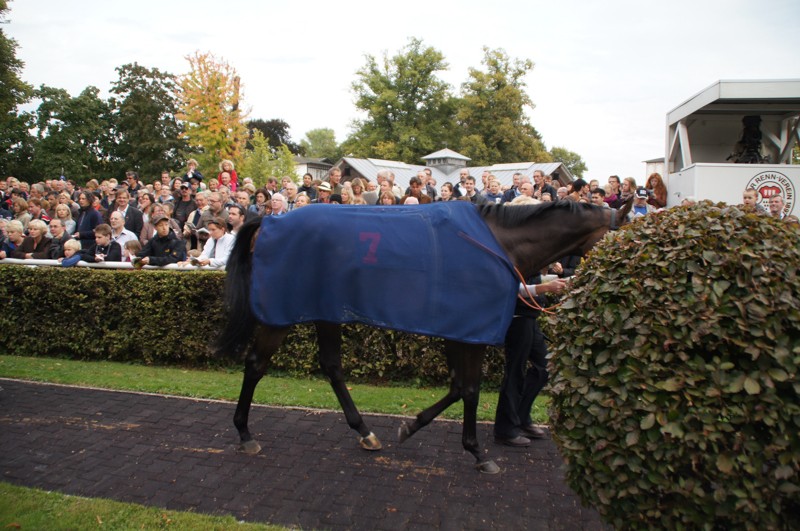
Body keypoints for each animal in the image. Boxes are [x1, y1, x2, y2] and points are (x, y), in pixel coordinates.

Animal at [217, 198, 632, 474]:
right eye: (626, 239)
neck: (499, 243)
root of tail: (269, 221)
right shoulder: (469, 331)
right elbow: (470, 389)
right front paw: (479, 454)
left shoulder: (456, 329)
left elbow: (457, 387)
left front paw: (410, 427)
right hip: (281, 315)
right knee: (255, 365)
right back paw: (245, 434)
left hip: (326, 310)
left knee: (331, 366)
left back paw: (365, 432)